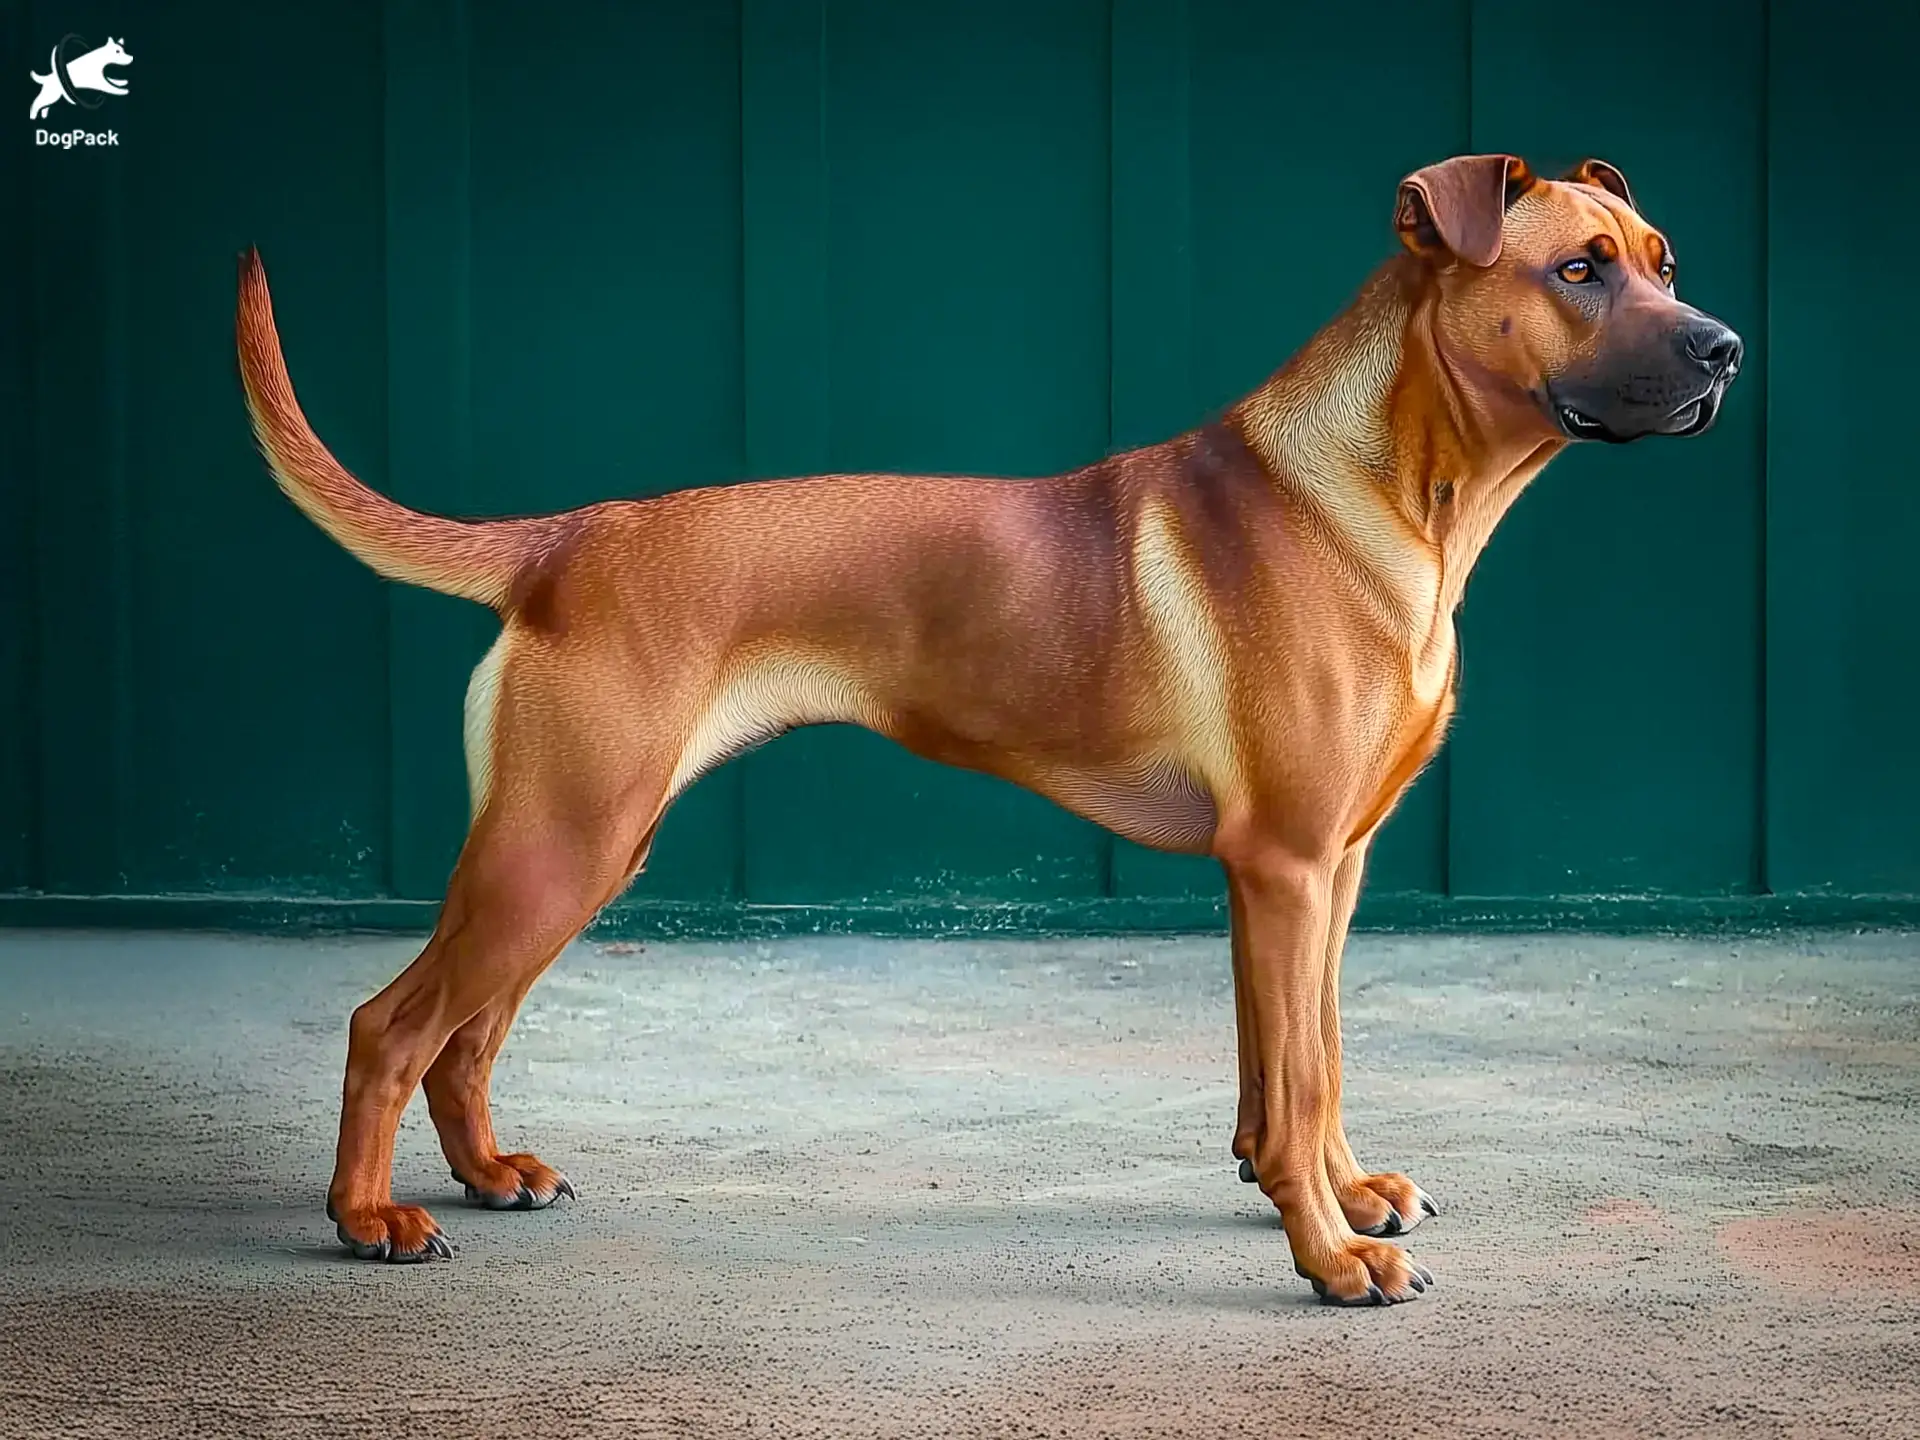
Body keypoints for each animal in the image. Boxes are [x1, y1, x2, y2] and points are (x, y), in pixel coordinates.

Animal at [236, 152, 1743, 1305]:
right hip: (557, 842)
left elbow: (1302, 1065)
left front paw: (1338, 1196)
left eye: (1663, 260)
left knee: (466, 1034)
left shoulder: (1330, 871)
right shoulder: (1289, 866)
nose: (1725, 347)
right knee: (391, 1027)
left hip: (583, 848)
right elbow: (1304, 1078)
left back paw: (491, 1177)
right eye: (1580, 272)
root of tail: (565, 542)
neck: (1390, 493)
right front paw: (1327, 1257)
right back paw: (368, 1220)